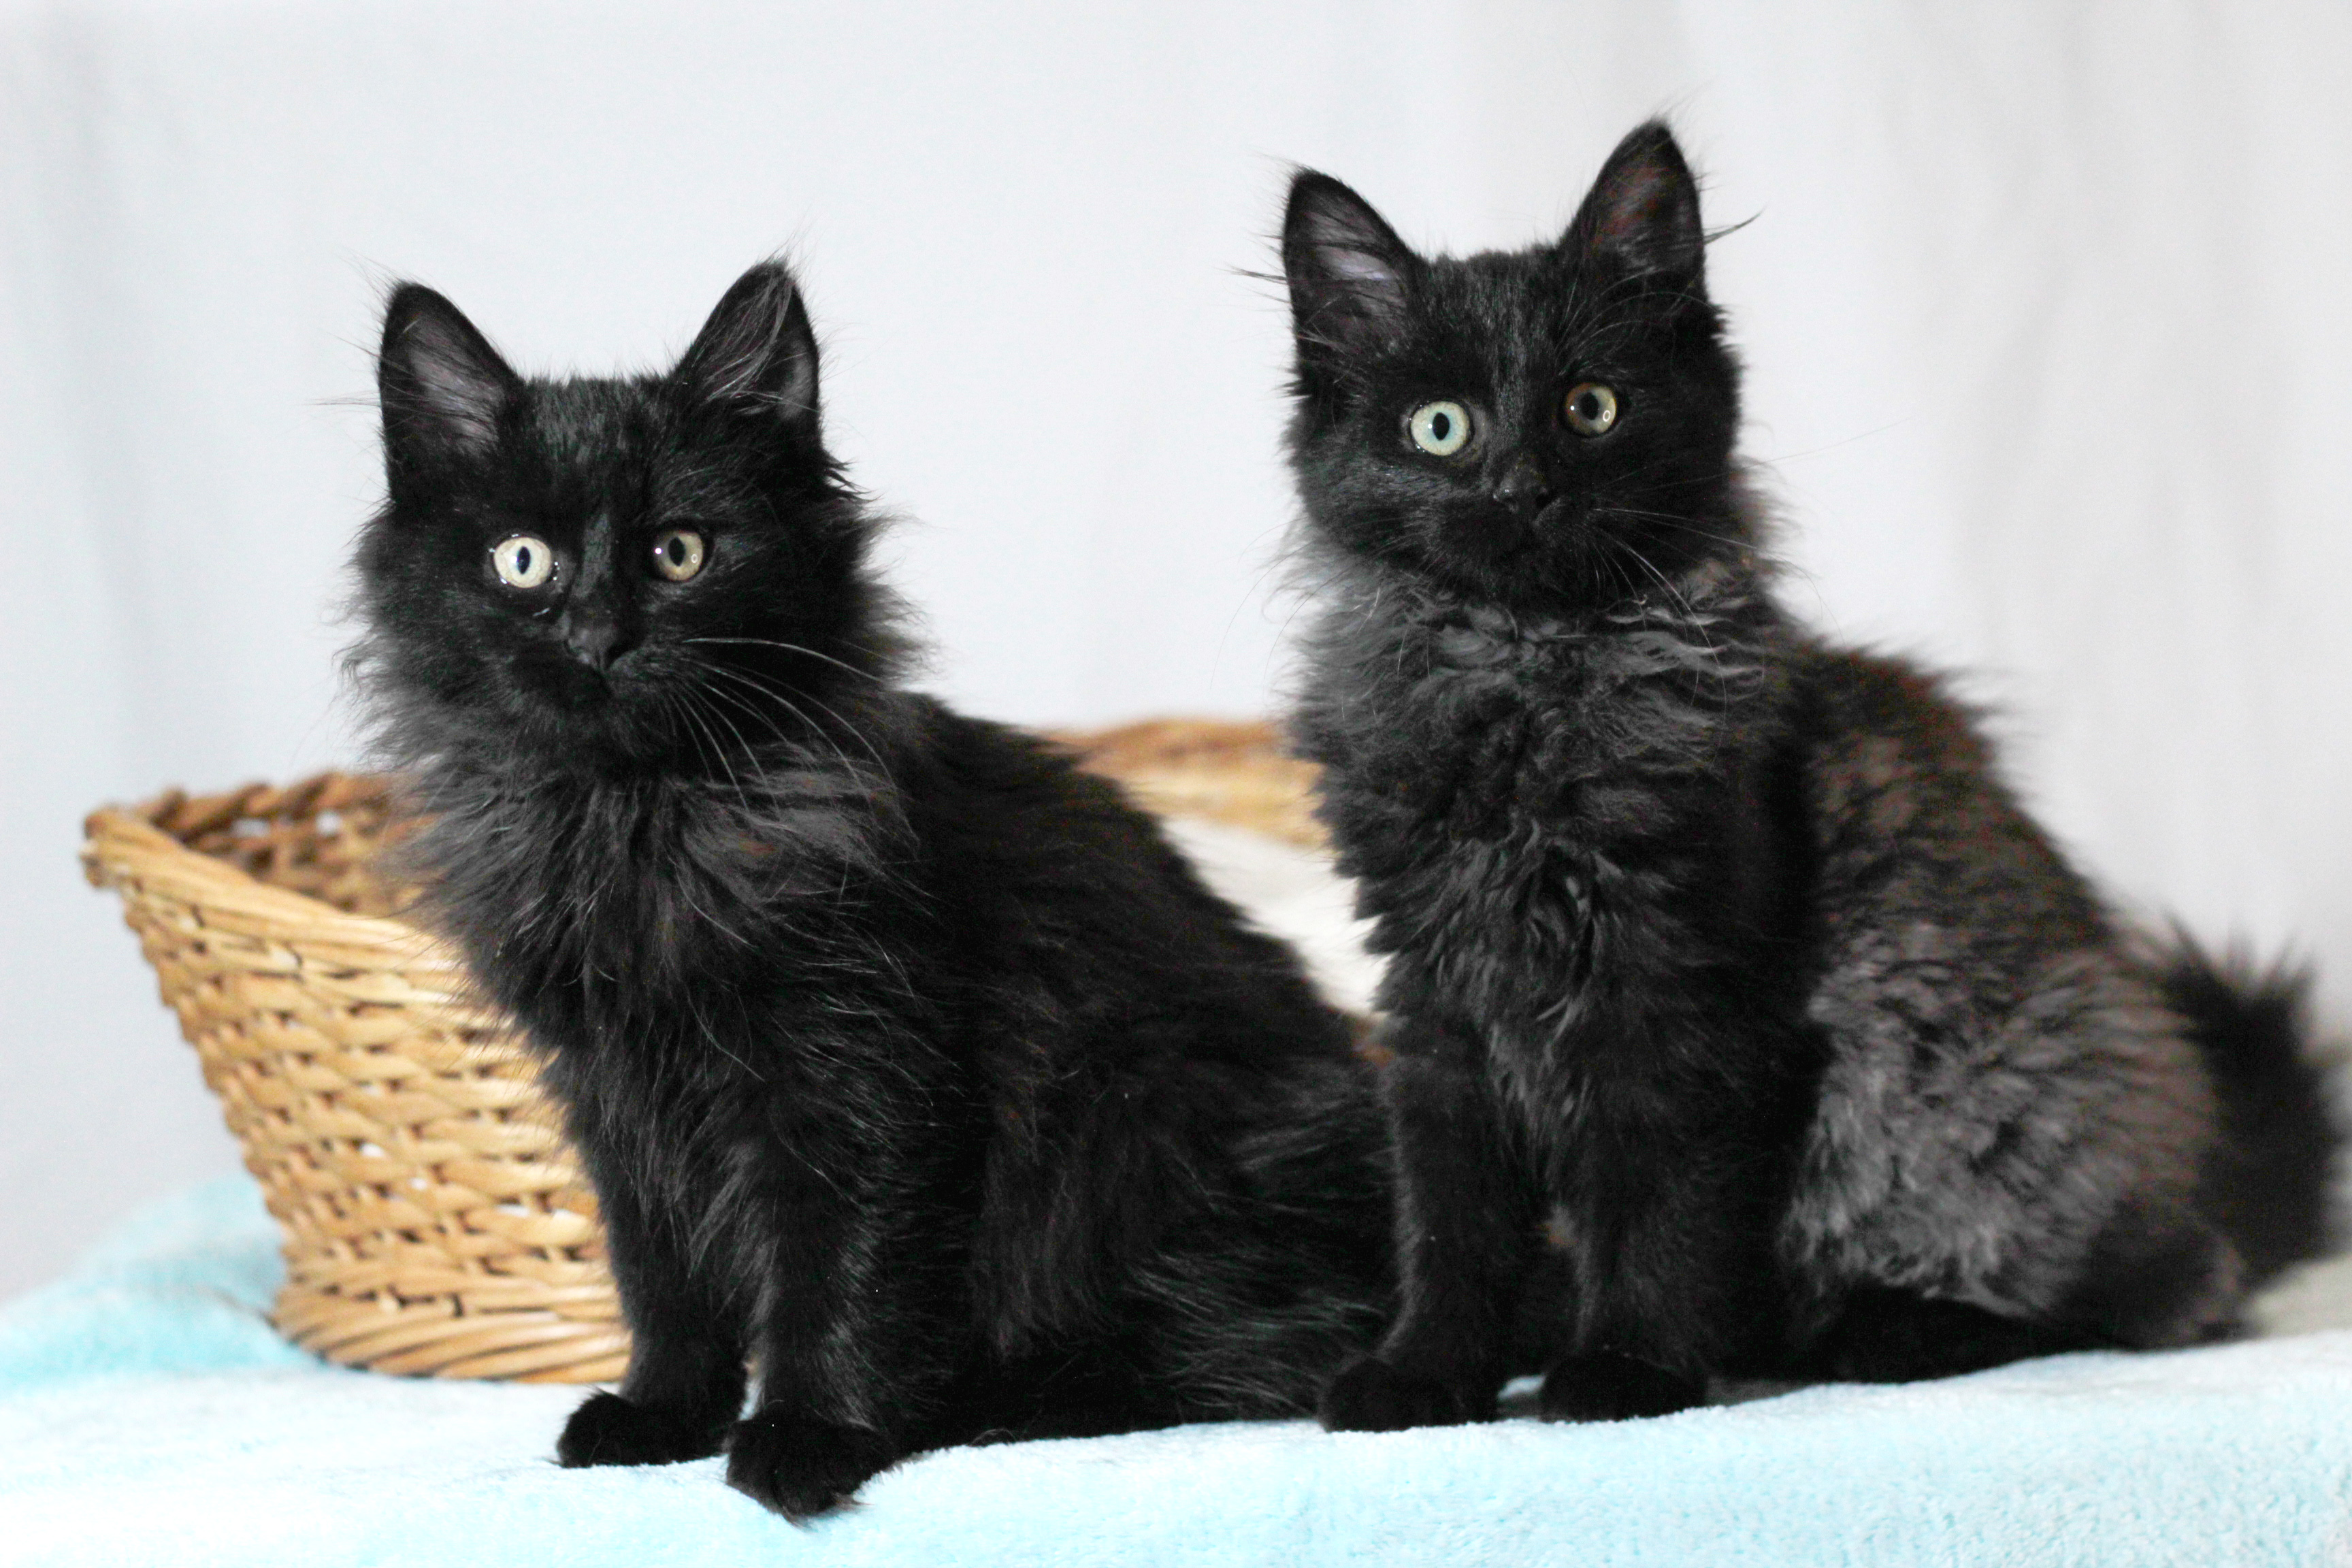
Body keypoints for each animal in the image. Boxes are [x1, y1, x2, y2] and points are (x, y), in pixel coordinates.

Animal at [350, 259, 1391, 1516]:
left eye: (680, 553)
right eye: (522, 561)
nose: (601, 638)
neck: (645, 820)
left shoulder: (861, 1072)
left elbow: (838, 1267)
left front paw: (808, 1435)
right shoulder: (617, 1096)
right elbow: (661, 1273)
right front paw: (662, 1414)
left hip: (1134, 1128)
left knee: (1257, 1349)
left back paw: (986, 1400)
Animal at [1276, 120, 2337, 1431]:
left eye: (1591, 407)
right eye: (1441, 427)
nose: (1526, 487)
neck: (1534, 681)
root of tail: (2204, 1179)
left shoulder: (1692, 1002)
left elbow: (1661, 1210)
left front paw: (1626, 1368)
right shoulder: (1434, 1003)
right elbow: (1449, 1222)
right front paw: (1427, 1374)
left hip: (2002, 1092)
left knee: (2141, 1298)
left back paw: (1882, 1330)